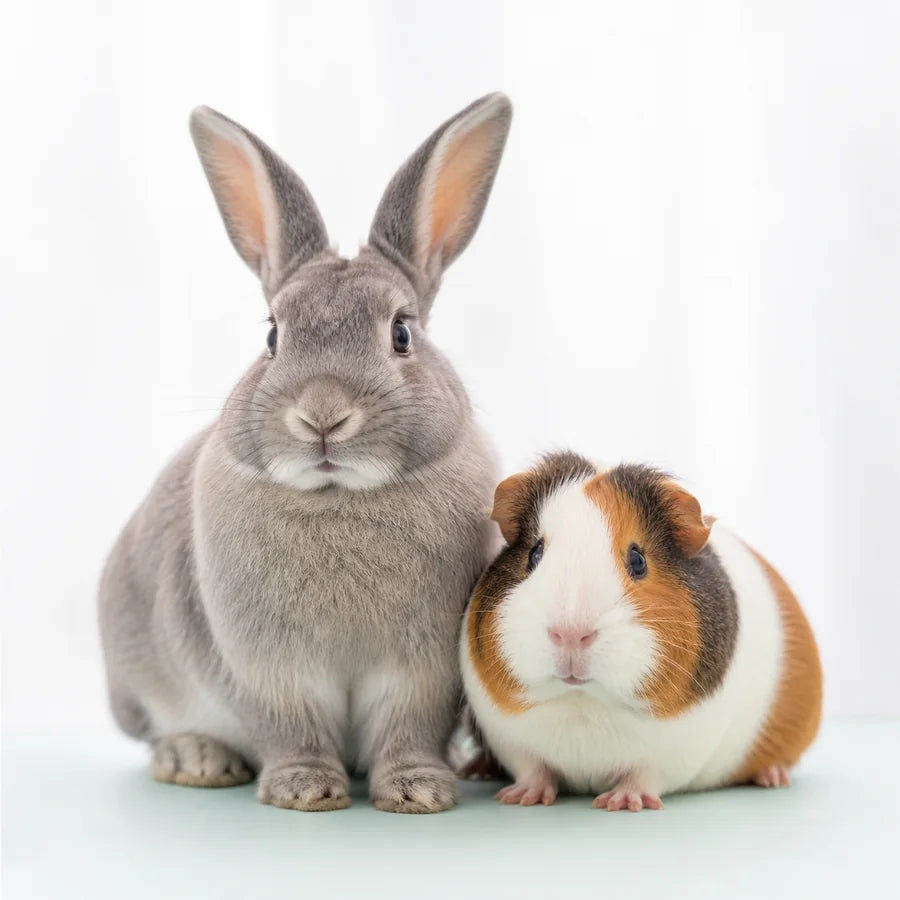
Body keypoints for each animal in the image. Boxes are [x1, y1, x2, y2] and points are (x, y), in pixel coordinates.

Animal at [98, 93, 512, 813]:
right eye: (272, 336)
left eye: (401, 333)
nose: (322, 416)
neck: (338, 495)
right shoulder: (268, 670)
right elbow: (291, 726)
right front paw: (304, 790)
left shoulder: (422, 675)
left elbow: (408, 728)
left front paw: (418, 791)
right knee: (154, 734)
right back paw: (196, 759)